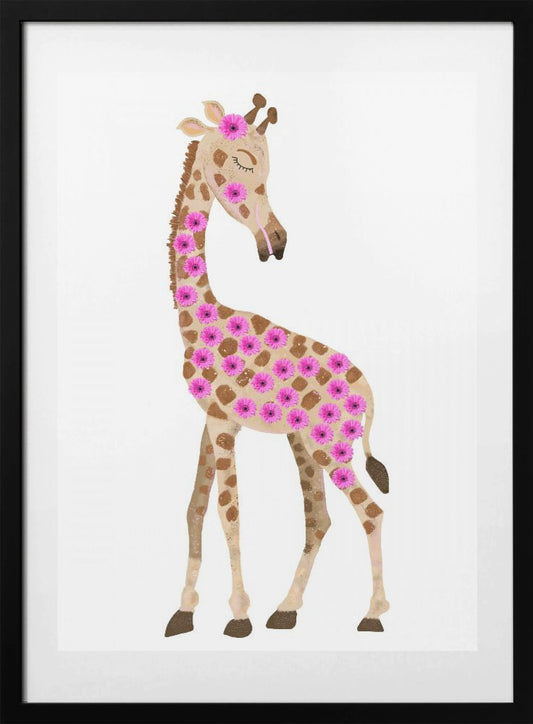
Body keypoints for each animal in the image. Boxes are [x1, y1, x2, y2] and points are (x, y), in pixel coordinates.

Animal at [164, 94, 390, 639]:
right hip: (305, 441)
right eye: (244, 161)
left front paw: (237, 615)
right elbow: (195, 508)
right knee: (321, 518)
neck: (198, 321)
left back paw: (372, 615)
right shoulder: (212, 419)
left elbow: (228, 514)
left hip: (332, 446)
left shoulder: (224, 423)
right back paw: (286, 609)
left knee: (371, 511)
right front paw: (183, 611)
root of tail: (369, 395)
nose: (279, 240)